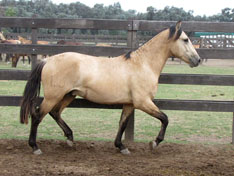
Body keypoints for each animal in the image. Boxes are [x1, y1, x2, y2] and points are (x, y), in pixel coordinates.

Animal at [20, 21, 201, 155]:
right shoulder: (143, 102)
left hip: (68, 95)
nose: (198, 60)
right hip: (53, 96)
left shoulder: (129, 104)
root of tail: (47, 60)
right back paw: (35, 147)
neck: (143, 64)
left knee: (55, 113)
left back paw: (70, 139)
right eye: (185, 39)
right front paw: (154, 142)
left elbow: (123, 123)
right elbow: (165, 118)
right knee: (37, 116)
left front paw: (121, 147)